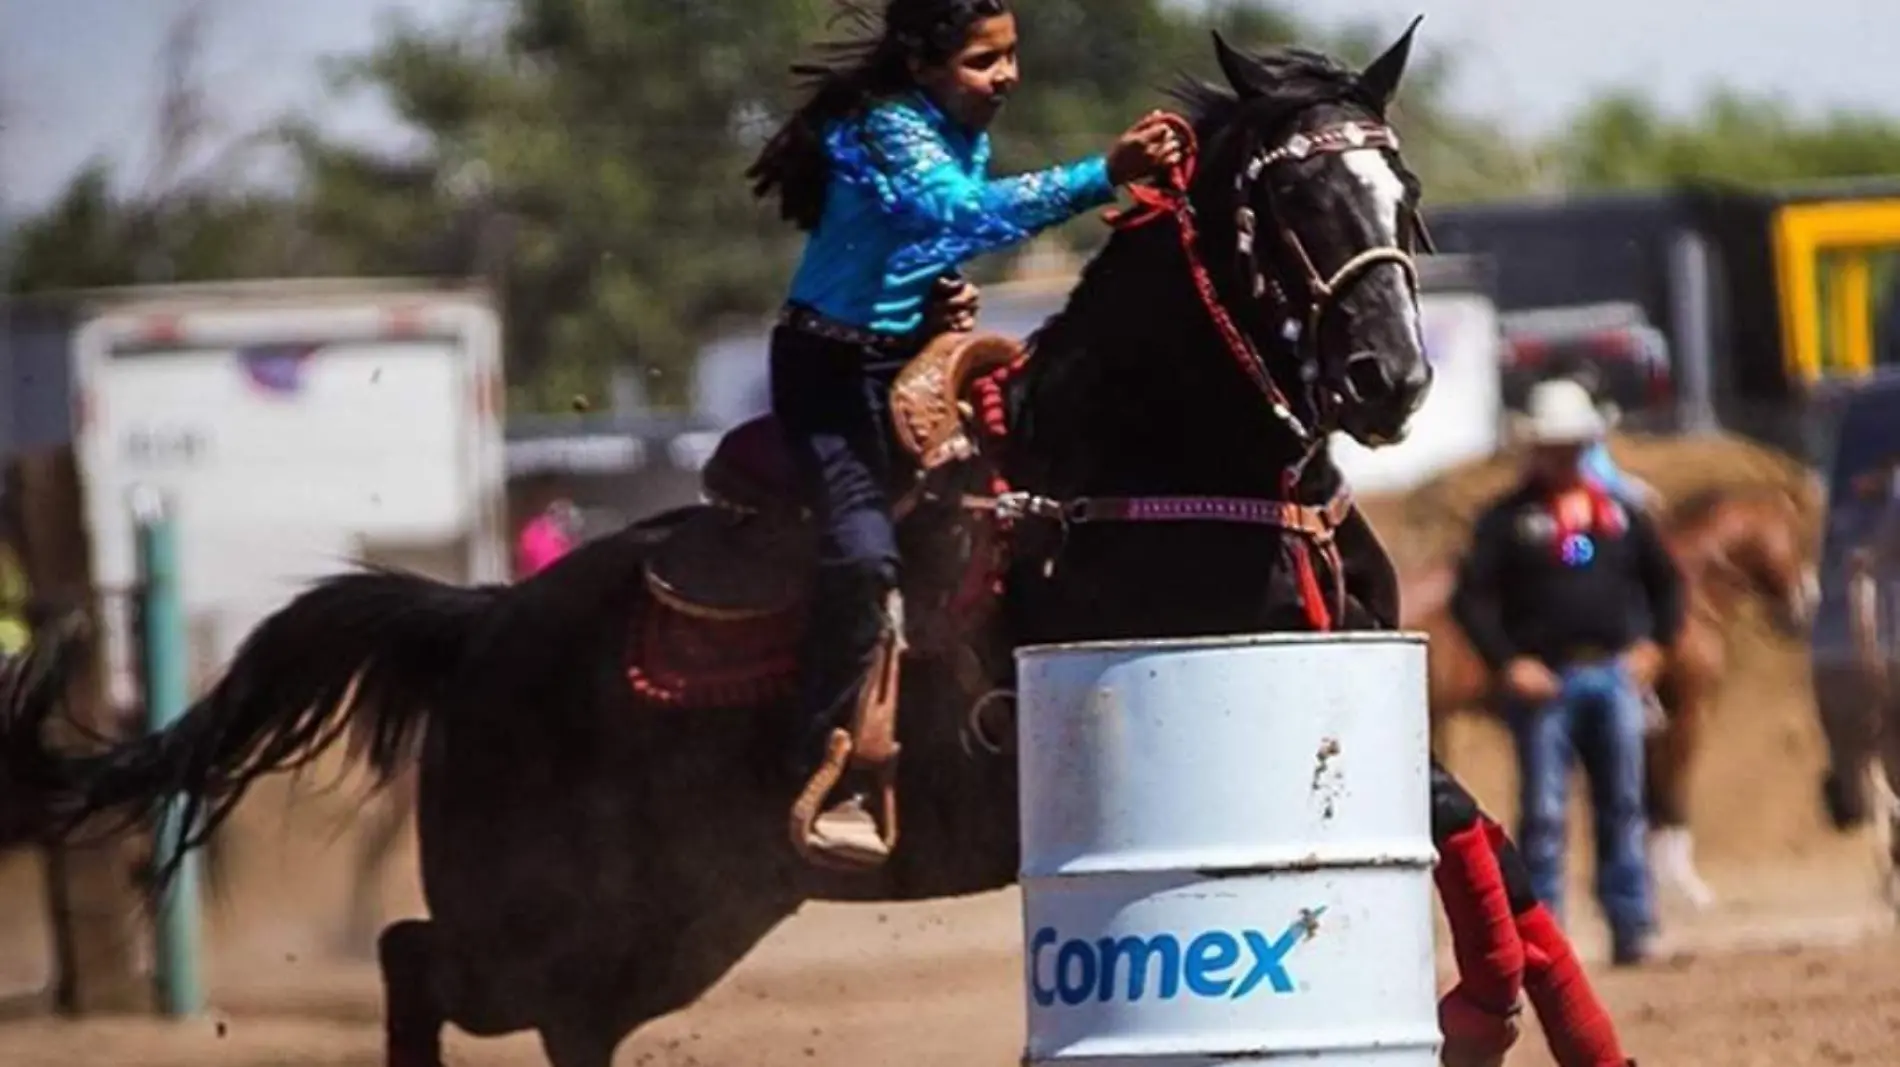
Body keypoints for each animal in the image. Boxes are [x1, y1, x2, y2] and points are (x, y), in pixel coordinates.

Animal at [0, 29, 1558, 1063]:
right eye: (1279, 202)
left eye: (1398, 187)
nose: (1388, 379)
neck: (1136, 467)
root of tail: (487, 621)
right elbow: (1459, 818)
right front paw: (1484, 1007)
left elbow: (1482, 831)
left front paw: (1507, 1002)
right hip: (532, 907)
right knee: (413, 959)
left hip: (675, 918)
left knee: (557, 1015)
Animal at [1406, 486, 1816, 911]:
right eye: (1794, 535)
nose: (1807, 601)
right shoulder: (1686, 715)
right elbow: (1672, 798)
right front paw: (1687, 887)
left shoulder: (1646, 729)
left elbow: (1647, 802)